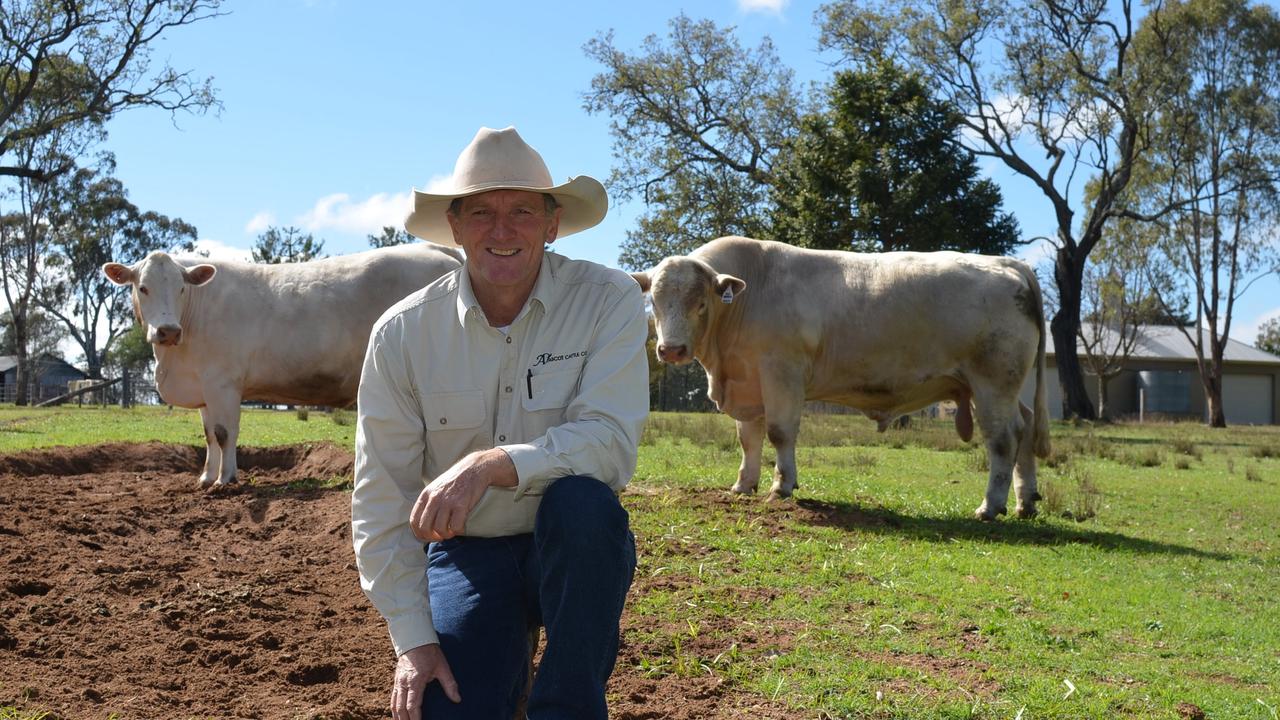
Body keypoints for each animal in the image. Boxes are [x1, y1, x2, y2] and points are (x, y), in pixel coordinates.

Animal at [103, 242, 465, 486]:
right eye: (142, 287)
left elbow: (224, 433)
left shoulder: (223, 382)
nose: (167, 330)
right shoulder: (204, 387)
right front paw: (205, 478)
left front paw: (225, 479)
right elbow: (208, 435)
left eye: (180, 288)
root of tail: (435, 249)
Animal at [632, 238, 1049, 517]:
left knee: (1002, 438)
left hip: (993, 382)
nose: (671, 349)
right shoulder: (747, 382)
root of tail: (1009, 264)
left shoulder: (781, 372)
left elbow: (780, 433)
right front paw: (743, 485)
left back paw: (990, 506)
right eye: (654, 301)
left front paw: (781, 486)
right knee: (1025, 426)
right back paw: (1025, 501)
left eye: (701, 303)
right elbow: (748, 438)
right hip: (1001, 387)